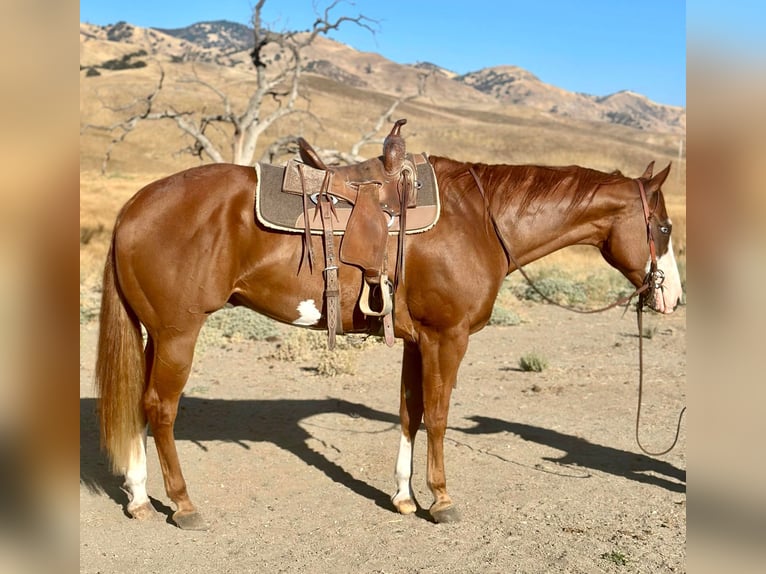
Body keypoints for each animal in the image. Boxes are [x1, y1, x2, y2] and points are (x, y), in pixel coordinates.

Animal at [96, 144, 684, 532]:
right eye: (663, 228)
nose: (672, 298)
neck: (479, 219)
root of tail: (130, 209)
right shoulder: (447, 338)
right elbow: (440, 416)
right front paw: (441, 500)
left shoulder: (416, 340)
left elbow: (411, 413)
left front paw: (403, 497)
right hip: (179, 334)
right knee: (161, 408)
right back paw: (183, 504)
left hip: (156, 335)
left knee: (140, 407)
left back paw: (140, 499)